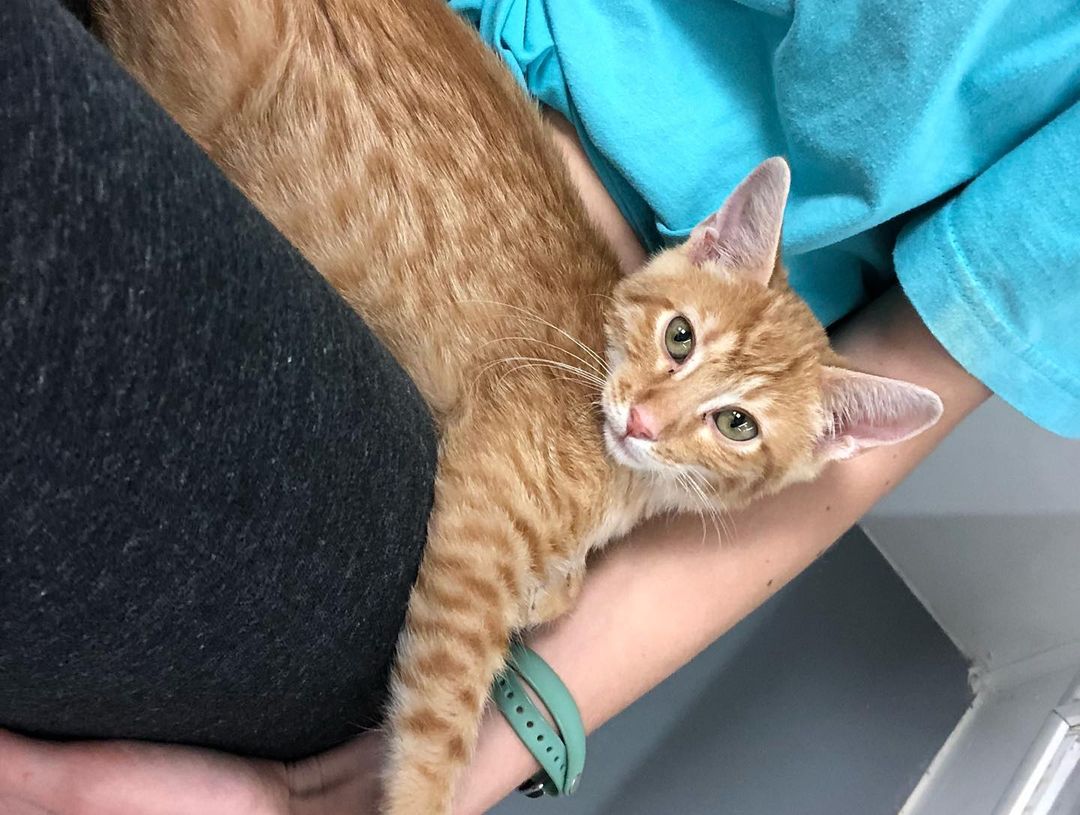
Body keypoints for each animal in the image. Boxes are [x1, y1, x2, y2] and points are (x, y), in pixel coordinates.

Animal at [95, 0, 946, 811]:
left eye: (737, 424)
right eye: (680, 337)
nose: (642, 419)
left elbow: (561, 592)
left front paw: (551, 588)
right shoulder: (479, 518)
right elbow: (441, 715)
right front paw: (417, 798)